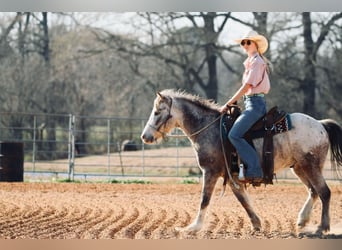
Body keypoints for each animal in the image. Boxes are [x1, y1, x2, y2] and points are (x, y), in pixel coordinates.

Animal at [140, 89, 342, 234]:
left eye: (157, 112)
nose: (145, 136)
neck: (211, 129)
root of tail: (320, 124)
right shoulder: (232, 177)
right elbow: (243, 200)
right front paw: (257, 224)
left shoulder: (210, 171)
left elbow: (205, 199)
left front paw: (193, 228)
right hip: (299, 167)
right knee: (313, 191)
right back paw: (302, 220)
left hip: (311, 166)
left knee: (324, 192)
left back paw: (322, 227)